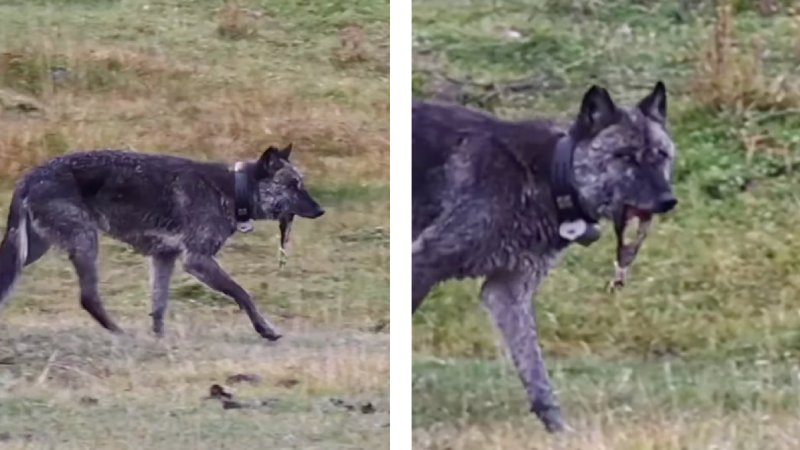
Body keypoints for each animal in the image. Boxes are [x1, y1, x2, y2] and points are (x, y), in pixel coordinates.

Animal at [0, 144, 324, 342]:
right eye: (293, 185)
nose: (321, 210)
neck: (232, 190)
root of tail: (29, 177)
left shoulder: (164, 258)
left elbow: (158, 306)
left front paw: (160, 340)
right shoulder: (197, 261)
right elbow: (242, 293)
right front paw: (265, 329)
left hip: (32, 252)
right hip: (85, 242)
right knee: (89, 298)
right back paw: (120, 333)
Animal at [412, 82, 680, 430]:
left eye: (661, 155)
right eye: (624, 156)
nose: (667, 200)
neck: (547, 177)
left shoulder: (507, 291)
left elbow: (535, 369)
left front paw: (557, 428)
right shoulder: (423, 262)